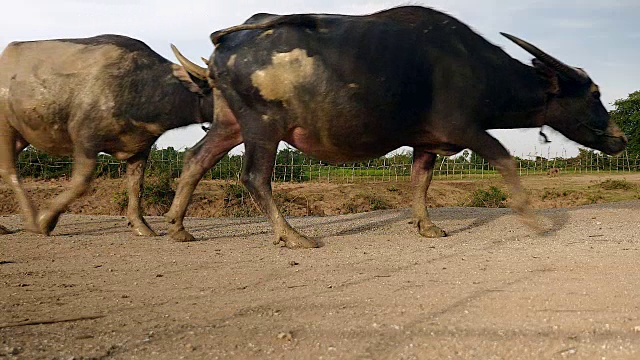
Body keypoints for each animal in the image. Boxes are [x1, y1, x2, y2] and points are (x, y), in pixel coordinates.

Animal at [0, 33, 210, 236]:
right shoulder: (85, 139)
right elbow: (81, 182)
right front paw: (45, 221)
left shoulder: (140, 147)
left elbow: (136, 185)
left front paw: (141, 226)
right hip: (5, 127)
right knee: (9, 170)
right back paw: (30, 219)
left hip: (21, 135)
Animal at [168, 6, 628, 248]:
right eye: (593, 92)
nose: (621, 138)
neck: (476, 67)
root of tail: (225, 46)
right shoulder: (465, 129)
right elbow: (505, 160)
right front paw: (532, 218)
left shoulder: (428, 142)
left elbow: (419, 182)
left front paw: (427, 226)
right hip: (263, 126)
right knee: (254, 176)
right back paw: (293, 236)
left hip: (229, 123)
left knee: (195, 159)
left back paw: (177, 227)